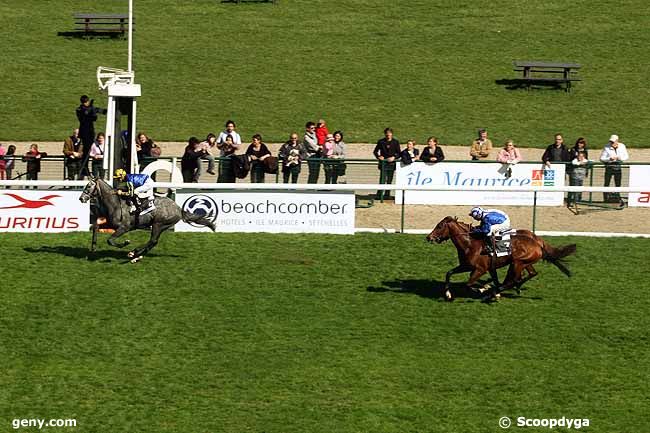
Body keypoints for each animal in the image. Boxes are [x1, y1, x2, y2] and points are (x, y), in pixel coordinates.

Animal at [79, 177, 215, 262]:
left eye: (89, 186)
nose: (81, 198)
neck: (115, 204)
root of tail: (178, 208)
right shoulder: (111, 224)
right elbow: (95, 226)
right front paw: (93, 248)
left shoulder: (124, 227)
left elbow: (110, 240)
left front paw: (125, 243)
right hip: (160, 226)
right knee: (153, 242)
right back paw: (136, 256)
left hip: (158, 224)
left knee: (153, 240)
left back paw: (134, 253)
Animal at [426, 216, 572, 300]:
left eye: (439, 226)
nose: (429, 237)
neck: (470, 244)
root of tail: (538, 243)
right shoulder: (467, 266)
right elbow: (449, 273)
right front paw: (448, 294)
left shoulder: (480, 269)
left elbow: (469, 284)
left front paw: (483, 289)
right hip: (524, 262)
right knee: (530, 273)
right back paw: (507, 289)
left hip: (517, 262)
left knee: (514, 279)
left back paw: (494, 293)